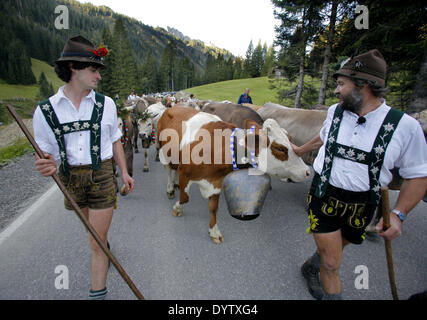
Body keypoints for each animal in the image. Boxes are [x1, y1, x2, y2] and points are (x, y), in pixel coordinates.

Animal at [157, 104, 310, 242]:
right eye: (280, 148)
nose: (307, 171)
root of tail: (173, 107)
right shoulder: (185, 173)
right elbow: (185, 198)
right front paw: (177, 208)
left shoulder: (216, 181)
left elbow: (213, 208)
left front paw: (214, 231)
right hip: (163, 152)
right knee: (168, 170)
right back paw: (170, 188)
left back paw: (175, 183)